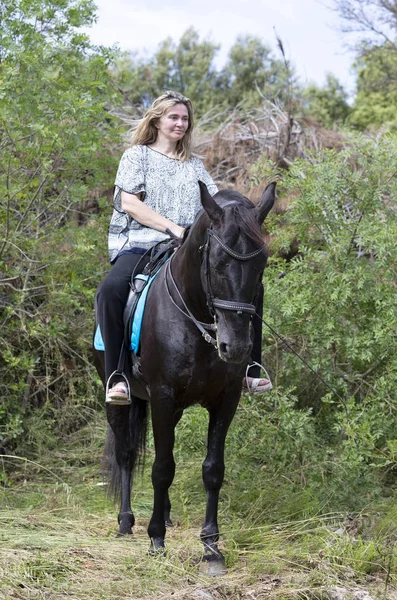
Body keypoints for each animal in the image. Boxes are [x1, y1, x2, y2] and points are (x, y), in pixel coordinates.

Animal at [93, 180, 276, 576]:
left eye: (262, 263)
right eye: (218, 262)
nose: (235, 347)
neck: (195, 316)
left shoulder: (225, 400)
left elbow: (212, 469)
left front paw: (211, 548)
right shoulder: (162, 396)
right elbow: (162, 468)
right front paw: (156, 541)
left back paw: (165, 515)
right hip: (121, 397)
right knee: (126, 452)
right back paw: (127, 522)